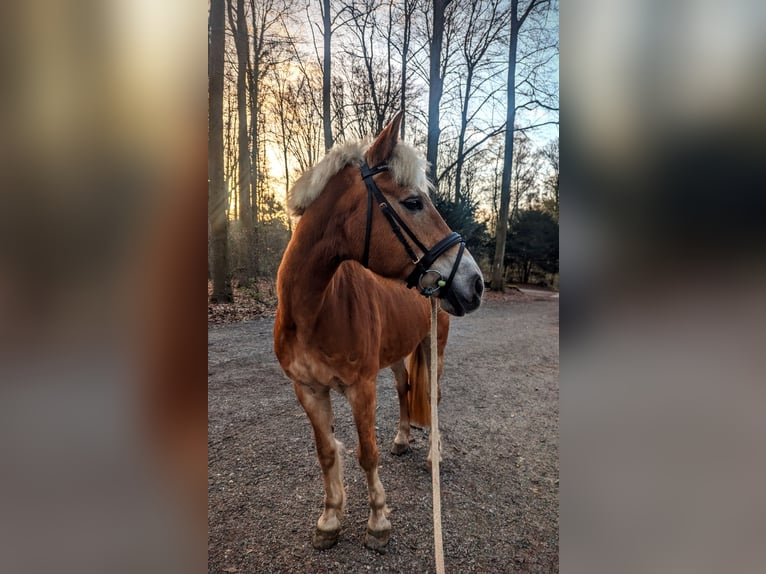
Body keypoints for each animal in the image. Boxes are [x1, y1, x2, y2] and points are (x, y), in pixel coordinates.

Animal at [272, 112, 484, 552]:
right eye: (414, 202)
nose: (475, 283)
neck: (315, 308)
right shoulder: (308, 389)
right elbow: (326, 453)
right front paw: (330, 520)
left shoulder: (361, 386)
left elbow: (366, 453)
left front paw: (378, 521)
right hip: (398, 354)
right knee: (405, 389)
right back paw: (403, 439)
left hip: (433, 347)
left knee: (434, 396)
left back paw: (433, 454)